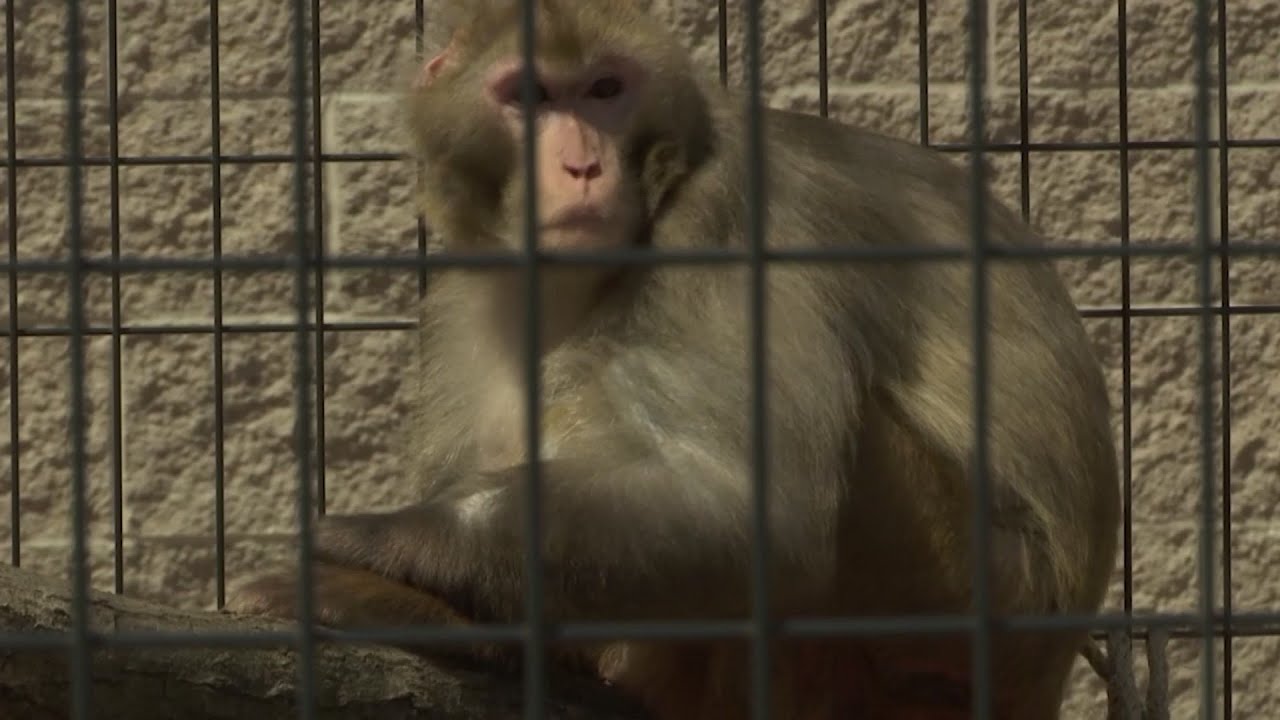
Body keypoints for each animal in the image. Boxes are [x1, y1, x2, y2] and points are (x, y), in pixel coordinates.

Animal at [227, 1, 1121, 718]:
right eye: (529, 96)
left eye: (605, 91)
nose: (583, 165)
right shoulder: (463, 293)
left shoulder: (728, 216)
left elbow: (756, 510)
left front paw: (389, 542)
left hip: (962, 599)